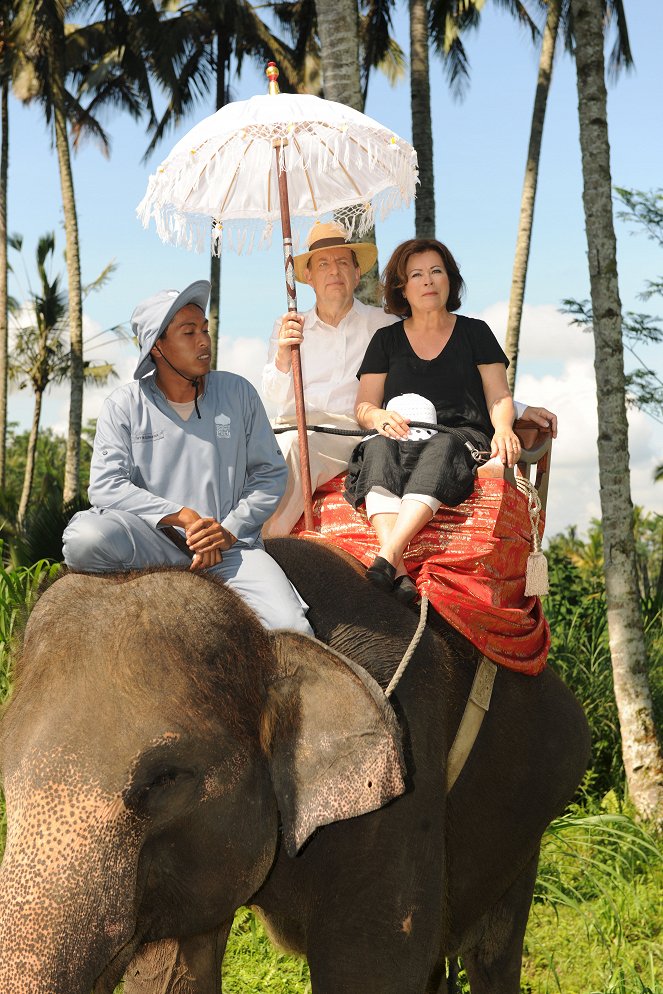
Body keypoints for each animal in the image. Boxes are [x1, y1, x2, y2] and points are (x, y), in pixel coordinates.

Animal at [0, 536, 592, 992]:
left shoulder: (404, 774)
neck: (265, 627)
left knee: (491, 955)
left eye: (163, 780)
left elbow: (375, 968)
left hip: (528, 824)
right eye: (7, 774)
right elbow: (172, 972)